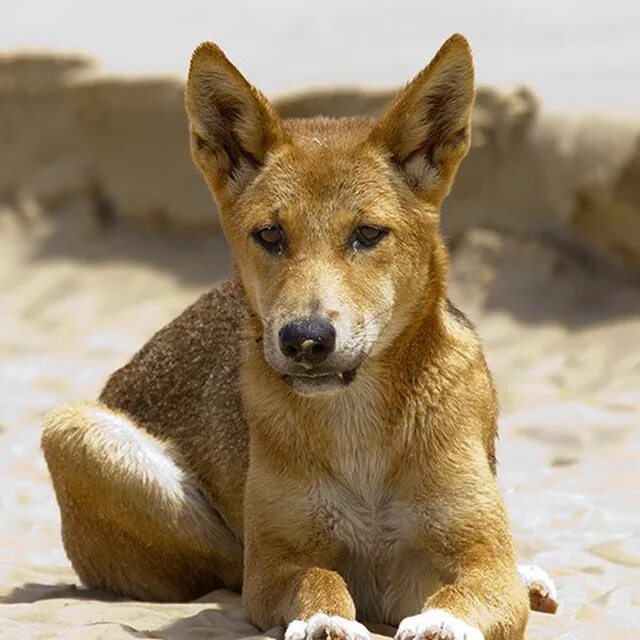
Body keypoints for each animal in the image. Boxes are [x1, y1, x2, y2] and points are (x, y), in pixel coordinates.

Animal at [42, 35, 556, 640]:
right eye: (270, 234)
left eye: (367, 234)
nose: (305, 340)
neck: (357, 425)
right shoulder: (275, 567)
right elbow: (320, 579)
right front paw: (323, 621)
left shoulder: (480, 557)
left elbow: (463, 595)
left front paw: (440, 622)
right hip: (76, 431)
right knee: (225, 564)